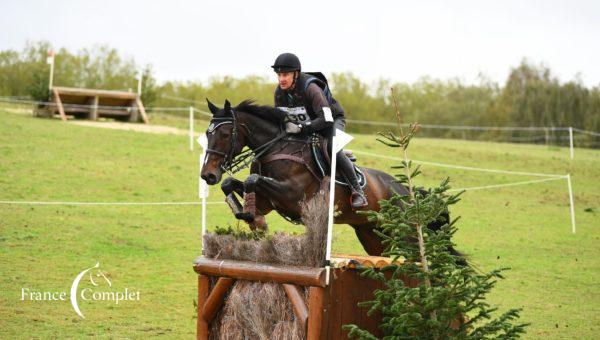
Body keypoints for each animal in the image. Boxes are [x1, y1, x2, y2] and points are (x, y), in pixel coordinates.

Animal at [199, 99, 452, 258]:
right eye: (207, 134)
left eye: (224, 134)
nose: (207, 175)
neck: (276, 147)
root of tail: (406, 191)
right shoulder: (269, 200)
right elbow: (232, 184)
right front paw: (249, 216)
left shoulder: (292, 196)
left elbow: (252, 179)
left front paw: (255, 220)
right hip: (372, 234)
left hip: (405, 234)